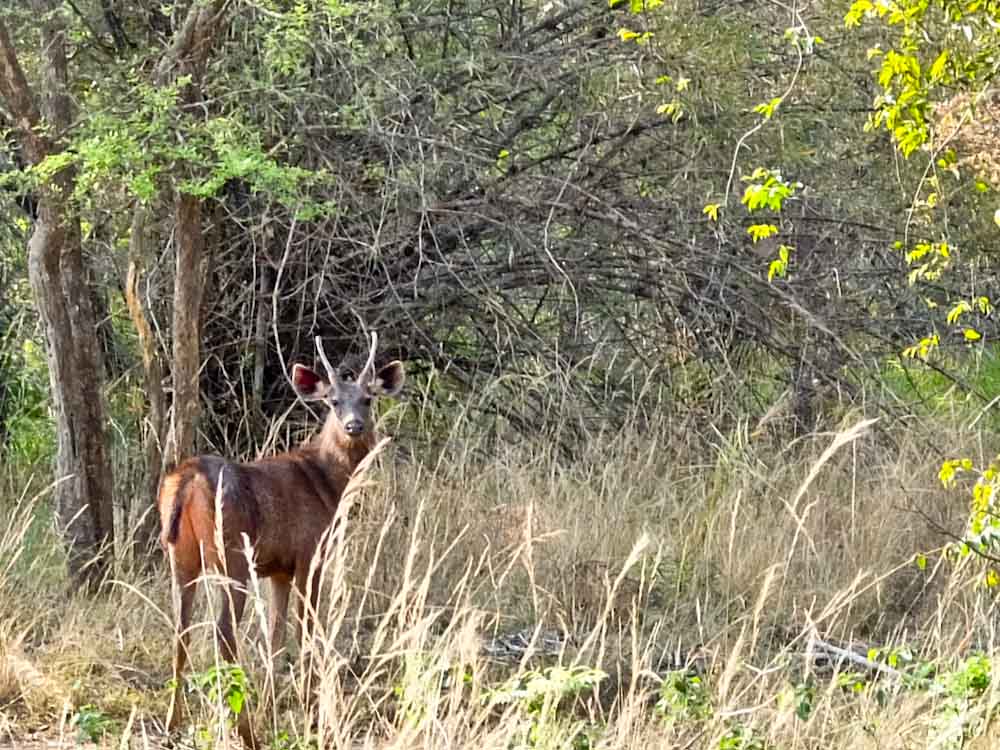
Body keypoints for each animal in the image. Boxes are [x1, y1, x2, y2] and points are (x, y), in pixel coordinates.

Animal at [158, 331, 404, 747]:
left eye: (368, 398)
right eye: (332, 400)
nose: (354, 425)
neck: (328, 484)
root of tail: (187, 477)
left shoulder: (278, 569)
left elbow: (275, 634)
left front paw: (275, 702)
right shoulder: (310, 553)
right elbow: (307, 629)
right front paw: (309, 706)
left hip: (181, 554)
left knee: (181, 627)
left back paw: (174, 723)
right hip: (232, 554)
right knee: (223, 631)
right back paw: (245, 731)